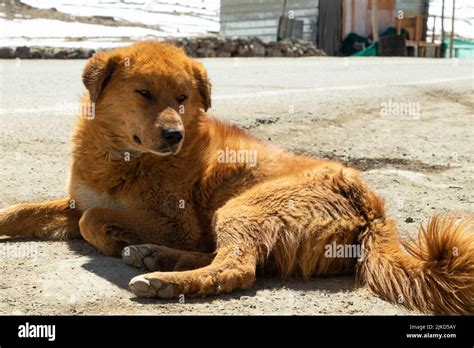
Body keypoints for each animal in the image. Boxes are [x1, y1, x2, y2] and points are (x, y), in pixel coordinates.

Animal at [0, 41, 474, 316]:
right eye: (144, 93)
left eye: (183, 97)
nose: (174, 135)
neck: (123, 157)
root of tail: (370, 203)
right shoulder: (78, 199)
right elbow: (22, 211)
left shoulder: (177, 221)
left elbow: (92, 221)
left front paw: (114, 238)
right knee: (230, 259)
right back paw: (153, 258)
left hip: (241, 206)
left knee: (238, 268)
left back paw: (162, 279)